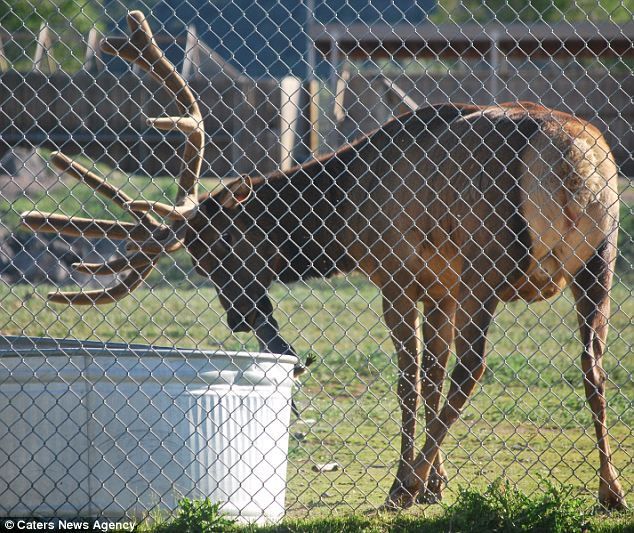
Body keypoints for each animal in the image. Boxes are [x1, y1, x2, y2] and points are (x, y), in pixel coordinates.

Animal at [22, 11, 624, 512]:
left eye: (219, 247)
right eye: (199, 262)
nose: (239, 316)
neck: (347, 217)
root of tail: (570, 161)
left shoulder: (398, 274)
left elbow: (410, 380)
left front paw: (414, 483)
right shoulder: (440, 285)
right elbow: (429, 375)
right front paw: (437, 485)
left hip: (488, 260)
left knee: (473, 368)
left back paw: (401, 488)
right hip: (600, 259)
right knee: (591, 366)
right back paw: (610, 490)